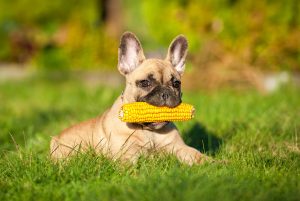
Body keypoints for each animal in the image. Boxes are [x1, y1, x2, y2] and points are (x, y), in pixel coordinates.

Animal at [50, 31, 205, 165]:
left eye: (176, 84)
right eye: (145, 83)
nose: (165, 93)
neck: (149, 132)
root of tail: (55, 138)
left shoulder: (179, 147)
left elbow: (197, 155)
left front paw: (210, 164)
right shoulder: (128, 153)